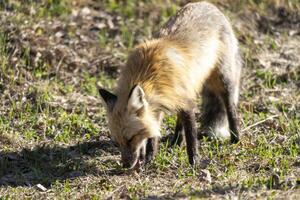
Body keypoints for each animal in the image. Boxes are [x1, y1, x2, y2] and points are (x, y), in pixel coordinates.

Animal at [98, 2, 241, 170]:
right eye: (116, 143)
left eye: (131, 138)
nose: (126, 166)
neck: (148, 75)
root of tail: (207, 4)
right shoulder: (159, 104)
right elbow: (153, 136)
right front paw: (149, 158)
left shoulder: (186, 102)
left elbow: (191, 138)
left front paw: (194, 162)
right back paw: (176, 142)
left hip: (223, 80)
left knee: (230, 109)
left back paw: (235, 138)